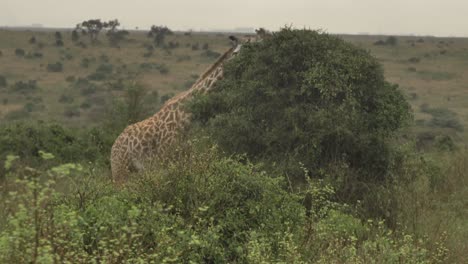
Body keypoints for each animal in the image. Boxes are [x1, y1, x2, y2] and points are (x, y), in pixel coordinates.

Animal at [111, 36, 243, 184]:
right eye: (236, 53)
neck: (186, 116)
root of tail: (113, 147)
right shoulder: (164, 164)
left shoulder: (184, 160)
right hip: (120, 171)